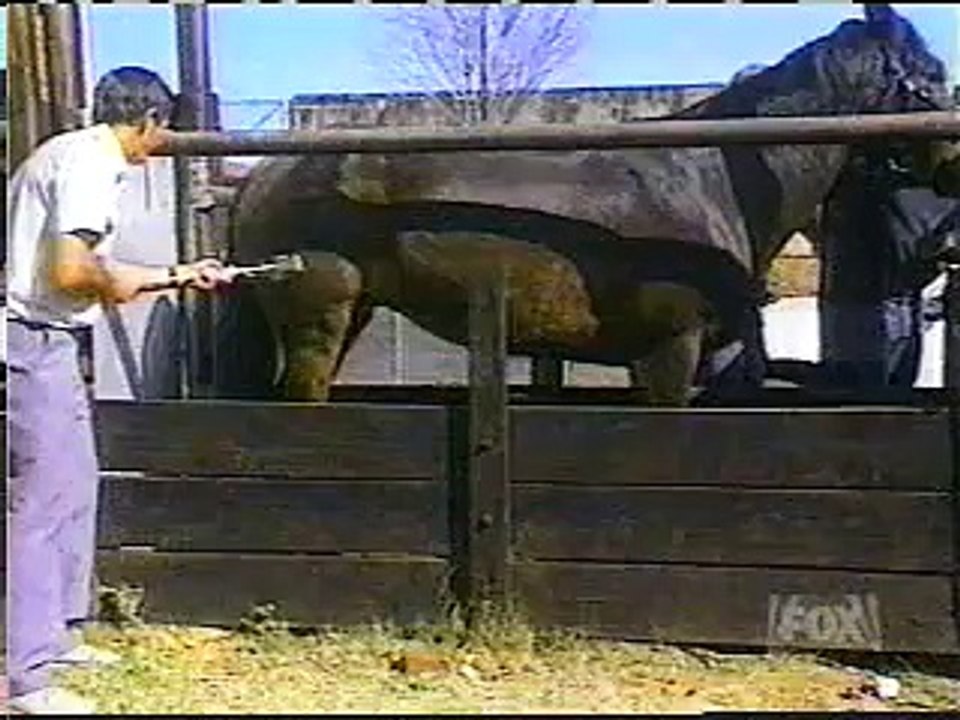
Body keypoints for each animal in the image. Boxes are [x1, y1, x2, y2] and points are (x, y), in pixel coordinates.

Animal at [215, 4, 960, 406]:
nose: (951, 169)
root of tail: (264, 177)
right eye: (930, 79)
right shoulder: (667, 350)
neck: (712, 178)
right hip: (319, 316)